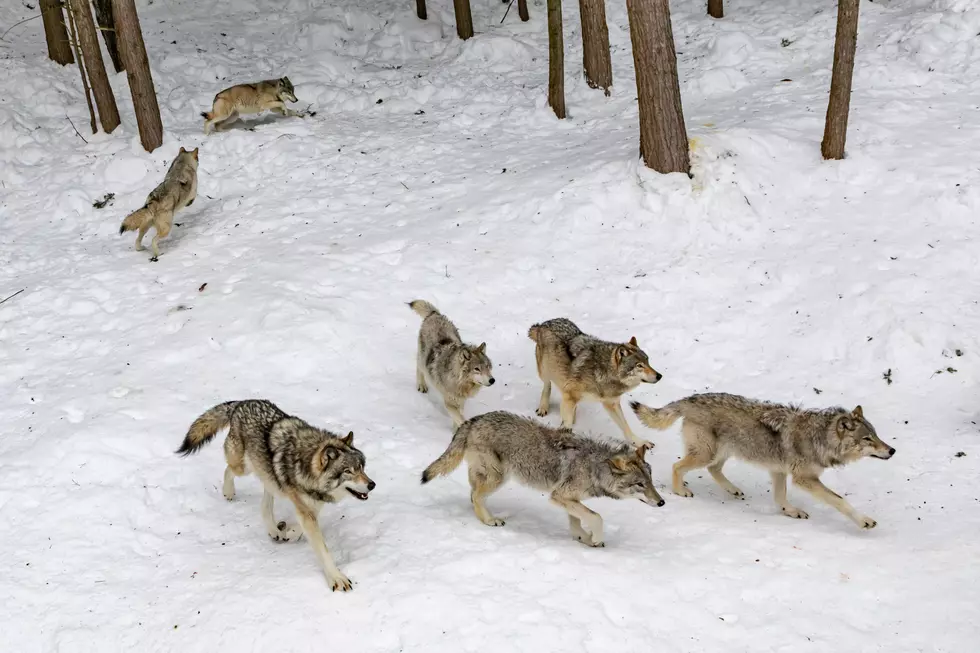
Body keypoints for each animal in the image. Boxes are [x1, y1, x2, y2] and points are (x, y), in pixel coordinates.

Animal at [176, 398, 376, 592]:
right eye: (348, 471)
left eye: (362, 468)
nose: (372, 485)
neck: (306, 465)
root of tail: (241, 403)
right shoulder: (306, 508)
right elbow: (323, 549)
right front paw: (336, 578)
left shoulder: (311, 505)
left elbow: (302, 525)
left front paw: (291, 533)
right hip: (244, 467)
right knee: (228, 470)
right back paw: (229, 492)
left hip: (268, 476)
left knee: (265, 502)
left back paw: (274, 530)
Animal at [408, 300, 494, 430]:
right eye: (477, 369)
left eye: (487, 367)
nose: (492, 380)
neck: (459, 381)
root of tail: (435, 314)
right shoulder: (449, 402)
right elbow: (460, 418)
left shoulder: (461, 401)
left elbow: (459, 416)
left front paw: (456, 430)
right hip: (422, 359)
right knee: (419, 366)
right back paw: (422, 385)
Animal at [422, 412, 668, 544]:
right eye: (640, 484)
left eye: (651, 482)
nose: (662, 502)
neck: (594, 467)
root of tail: (474, 419)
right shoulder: (559, 496)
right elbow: (596, 517)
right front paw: (596, 538)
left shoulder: (569, 499)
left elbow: (578, 520)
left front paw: (584, 539)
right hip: (498, 478)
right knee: (475, 495)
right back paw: (490, 520)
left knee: (473, 492)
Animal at [528, 318, 660, 450]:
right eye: (639, 366)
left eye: (648, 362)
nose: (659, 376)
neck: (603, 372)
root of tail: (544, 323)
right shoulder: (570, 396)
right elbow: (567, 424)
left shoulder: (611, 403)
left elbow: (626, 426)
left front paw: (640, 443)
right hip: (545, 372)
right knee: (547, 385)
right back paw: (543, 408)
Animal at [628, 392, 896, 528]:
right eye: (868, 439)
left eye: (876, 435)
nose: (892, 450)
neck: (820, 438)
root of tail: (690, 399)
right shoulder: (804, 479)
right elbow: (840, 501)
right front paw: (864, 521)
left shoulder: (779, 471)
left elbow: (780, 497)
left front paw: (790, 511)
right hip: (706, 454)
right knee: (677, 466)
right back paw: (680, 491)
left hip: (723, 452)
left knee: (714, 470)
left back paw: (733, 490)